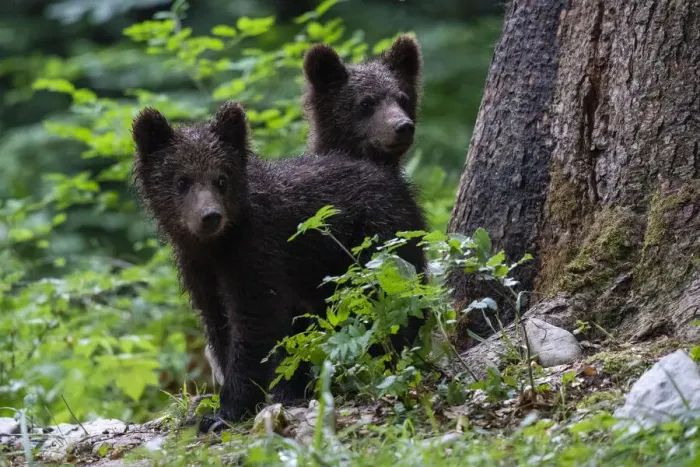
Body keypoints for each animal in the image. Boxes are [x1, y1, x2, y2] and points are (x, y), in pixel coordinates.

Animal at [131, 101, 428, 433]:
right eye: (182, 180)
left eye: (221, 179)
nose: (210, 216)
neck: (218, 246)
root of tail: (398, 183)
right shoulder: (199, 269)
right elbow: (219, 324)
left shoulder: (256, 252)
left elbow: (254, 323)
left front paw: (226, 411)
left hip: (378, 245)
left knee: (391, 302)